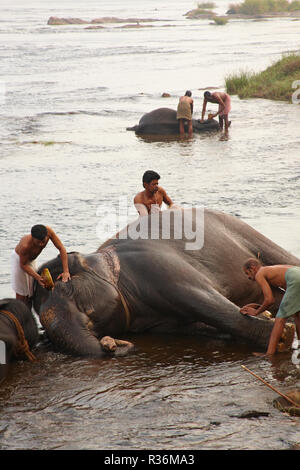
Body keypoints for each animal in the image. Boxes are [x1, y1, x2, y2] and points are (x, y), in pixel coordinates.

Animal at [32, 207, 298, 358]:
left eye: (66, 287)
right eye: (35, 308)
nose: (113, 344)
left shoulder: (159, 267)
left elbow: (206, 300)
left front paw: (283, 337)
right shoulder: (155, 323)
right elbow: (191, 325)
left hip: (243, 230)